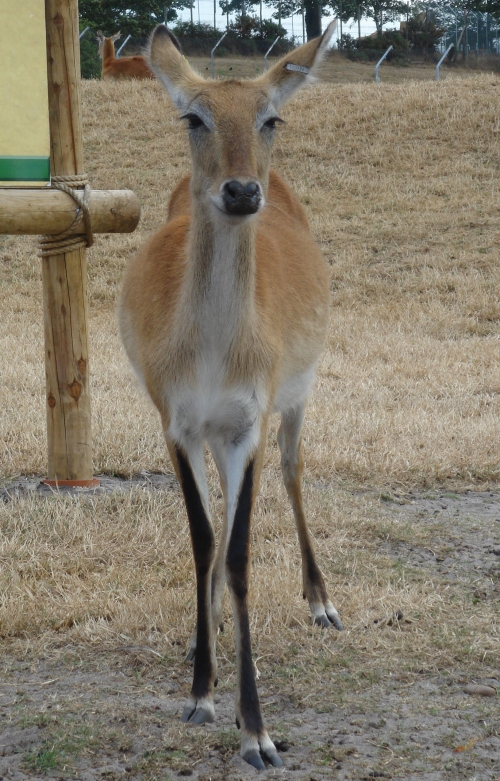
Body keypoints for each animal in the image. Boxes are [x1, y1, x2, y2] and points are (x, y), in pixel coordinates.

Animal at [119, 21, 342, 772]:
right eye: (194, 116)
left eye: (270, 117)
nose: (242, 192)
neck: (214, 355)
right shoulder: (178, 423)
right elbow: (203, 536)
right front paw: (200, 691)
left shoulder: (251, 417)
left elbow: (241, 551)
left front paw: (258, 732)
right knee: (218, 517)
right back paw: (206, 630)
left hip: (296, 397)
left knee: (293, 470)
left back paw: (322, 602)